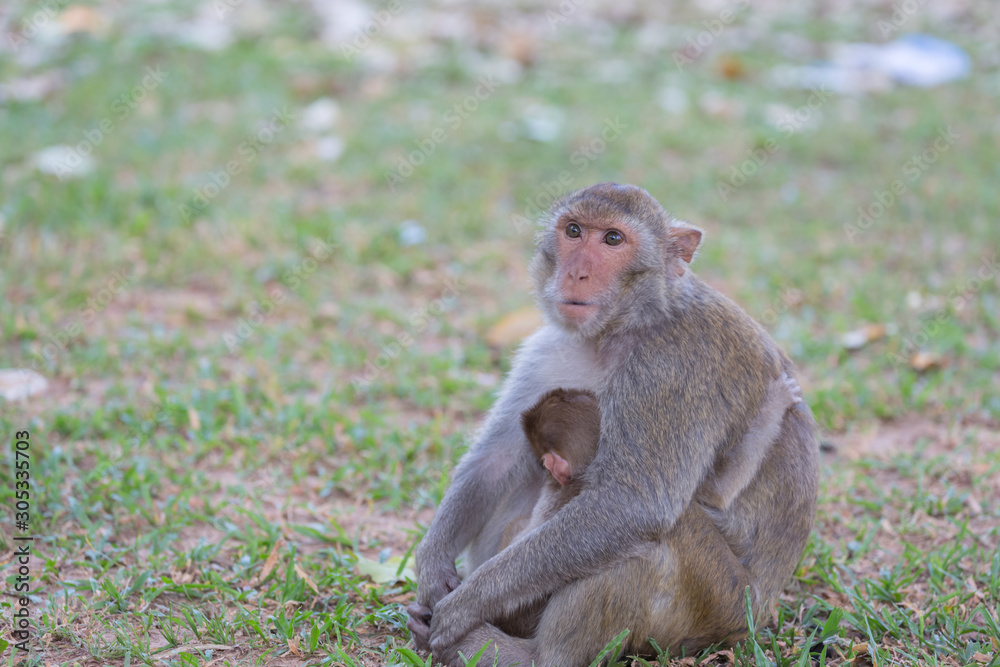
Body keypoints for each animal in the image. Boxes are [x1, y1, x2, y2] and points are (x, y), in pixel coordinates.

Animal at [407, 183, 820, 667]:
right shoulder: (550, 350)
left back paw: (518, 653)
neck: (620, 328)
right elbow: (496, 461)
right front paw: (433, 565)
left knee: (649, 542)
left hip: (720, 604)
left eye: (613, 240)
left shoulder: (670, 370)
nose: (576, 274)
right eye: (573, 231)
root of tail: (762, 609)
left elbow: (633, 503)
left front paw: (464, 605)